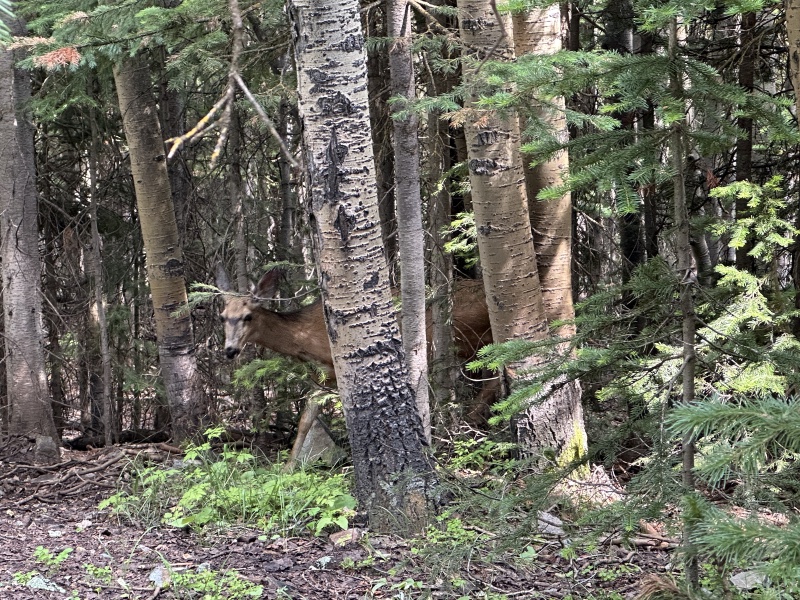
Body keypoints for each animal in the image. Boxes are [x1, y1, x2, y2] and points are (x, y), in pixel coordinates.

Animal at [216, 265, 495, 464]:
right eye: (223, 317)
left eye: (247, 316)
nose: (230, 350)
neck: (304, 337)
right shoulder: (321, 376)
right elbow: (306, 420)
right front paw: (287, 468)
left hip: (471, 340)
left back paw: (470, 422)